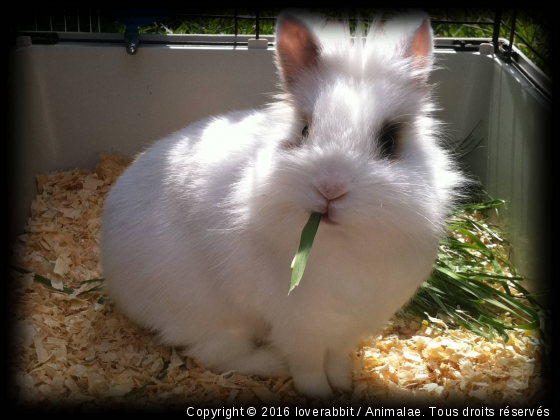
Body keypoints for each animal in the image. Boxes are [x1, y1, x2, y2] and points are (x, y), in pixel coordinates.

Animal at [100, 9, 464, 398]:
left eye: (389, 140)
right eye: (304, 130)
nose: (330, 188)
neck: (340, 246)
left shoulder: (346, 327)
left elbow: (337, 358)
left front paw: (344, 385)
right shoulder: (298, 326)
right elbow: (307, 366)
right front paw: (320, 394)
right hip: (209, 315)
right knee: (219, 356)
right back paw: (272, 363)